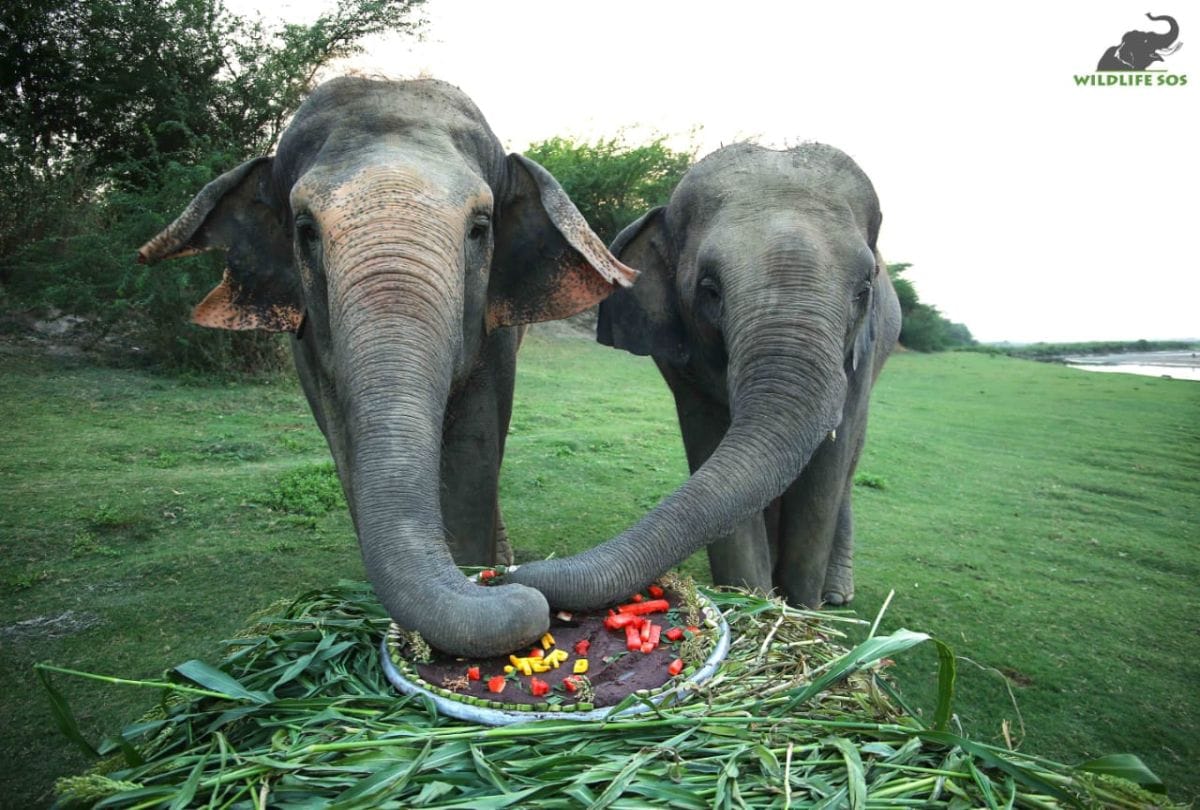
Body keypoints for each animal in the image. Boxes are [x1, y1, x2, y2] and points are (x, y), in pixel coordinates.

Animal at [137, 77, 636, 657]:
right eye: (305, 229)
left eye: (480, 228)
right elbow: (344, 442)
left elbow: (474, 446)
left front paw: (476, 569)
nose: (522, 592)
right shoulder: (309, 340)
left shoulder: (494, 334)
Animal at [508, 143, 901, 611]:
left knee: (849, 463)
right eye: (709, 289)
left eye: (864, 290)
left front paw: (800, 611)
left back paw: (837, 594)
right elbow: (712, 440)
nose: (509, 577)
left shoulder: (862, 353)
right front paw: (752, 599)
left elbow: (826, 471)